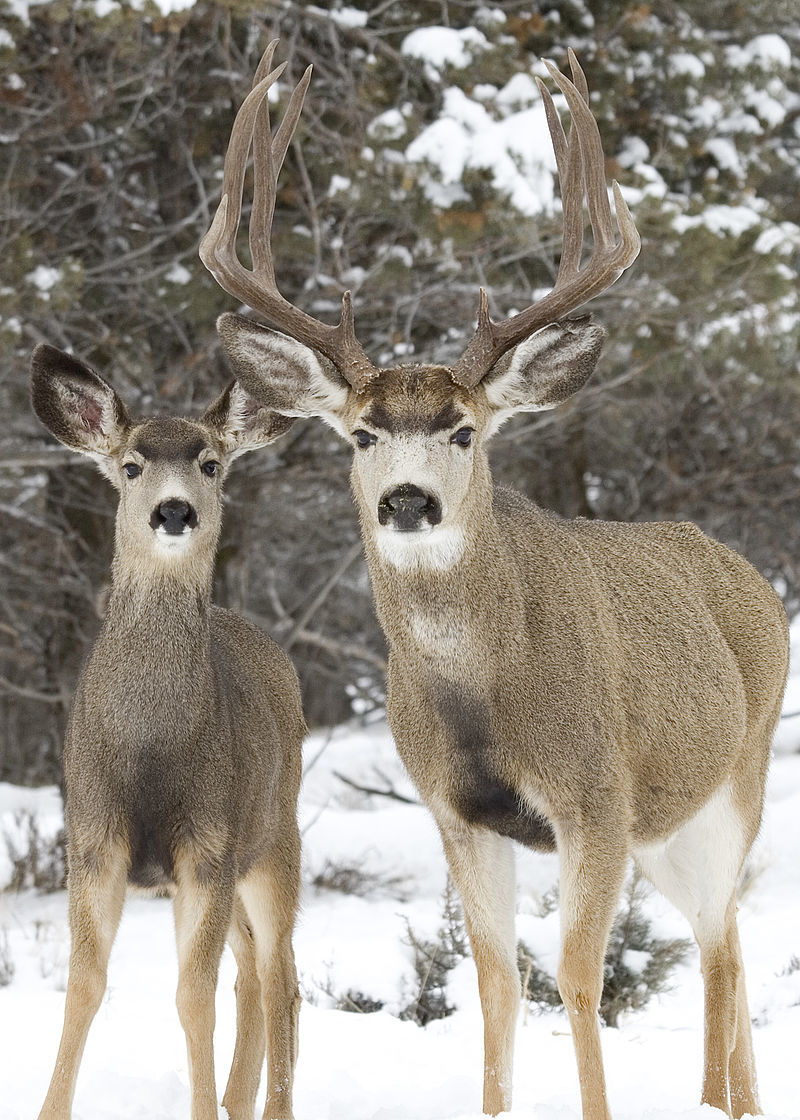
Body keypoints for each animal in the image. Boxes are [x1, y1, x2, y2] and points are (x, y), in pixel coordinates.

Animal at [31, 340, 302, 1120]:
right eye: (130, 464)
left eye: (210, 462)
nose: (173, 509)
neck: (149, 745)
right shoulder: (93, 838)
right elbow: (85, 988)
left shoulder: (207, 845)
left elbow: (192, 998)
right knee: (253, 972)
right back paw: (240, 1101)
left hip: (274, 839)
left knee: (279, 976)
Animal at [199, 43, 784, 1120]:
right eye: (362, 433)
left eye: (465, 430)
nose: (409, 501)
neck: (485, 693)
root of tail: (745, 575)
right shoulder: (454, 810)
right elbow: (497, 978)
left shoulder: (594, 794)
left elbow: (580, 975)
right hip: (668, 825)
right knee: (716, 934)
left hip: (738, 777)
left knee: (723, 944)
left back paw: (725, 1103)